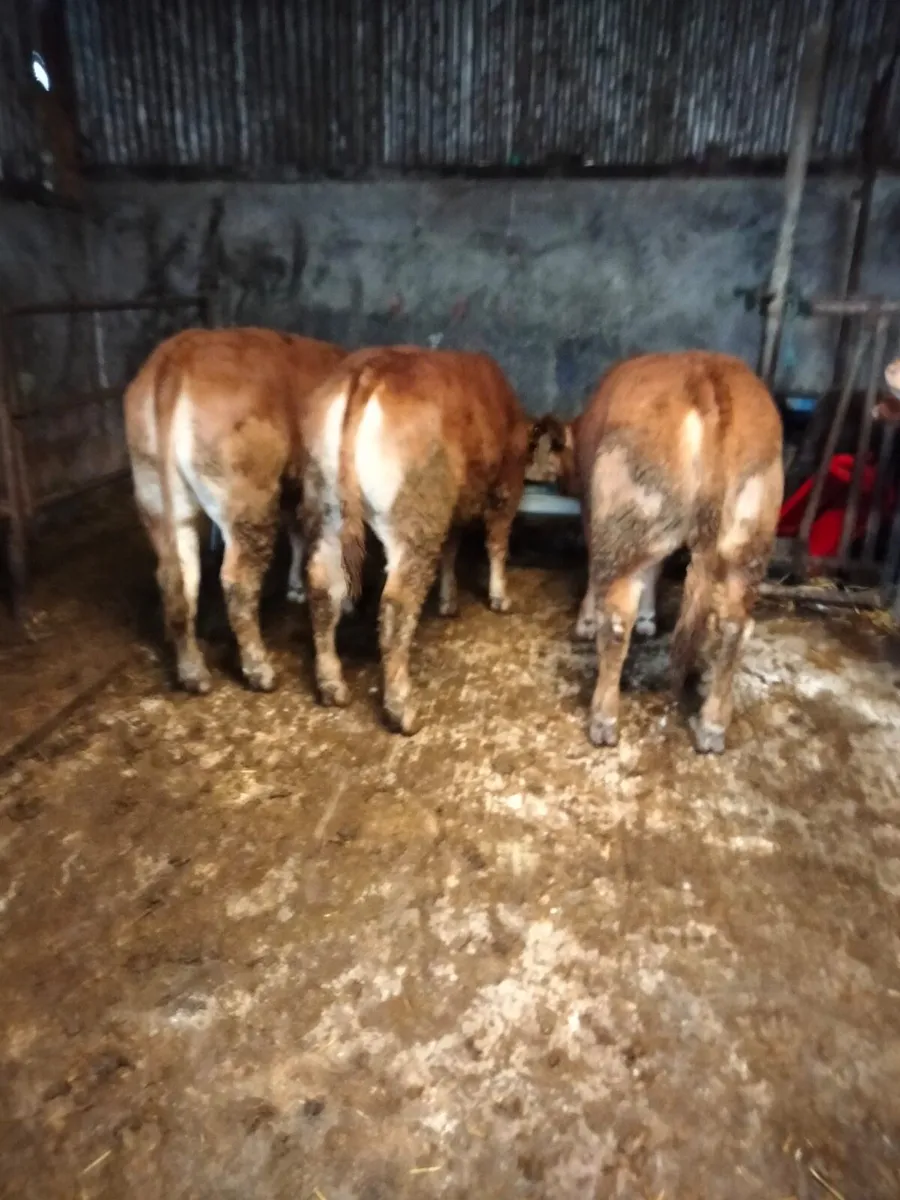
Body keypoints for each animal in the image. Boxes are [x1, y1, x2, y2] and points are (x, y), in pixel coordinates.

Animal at [124, 327, 346, 694]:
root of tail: (180, 352)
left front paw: (296, 587)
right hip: (248, 498)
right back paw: (259, 669)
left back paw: (193, 673)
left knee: (178, 578)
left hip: (154, 490)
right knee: (238, 583)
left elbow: (297, 532)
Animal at [298, 346, 531, 735]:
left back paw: (332, 686)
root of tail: (371, 370)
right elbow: (497, 541)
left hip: (326, 506)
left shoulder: (452, 507)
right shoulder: (505, 485)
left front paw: (449, 601)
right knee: (397, 606)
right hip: (414, 520)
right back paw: (401, 710)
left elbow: (451, 549)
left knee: (321, 588)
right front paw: (500, 596)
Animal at [531, 351, 784, 754]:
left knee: (617, 622)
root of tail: (706, 376)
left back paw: (603, 719)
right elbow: (656, 567)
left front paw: (586, 621)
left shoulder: (594, 513)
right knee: (734, 626)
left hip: (626, 521)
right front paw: (650, 618)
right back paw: (713, 726)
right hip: (749, 538)